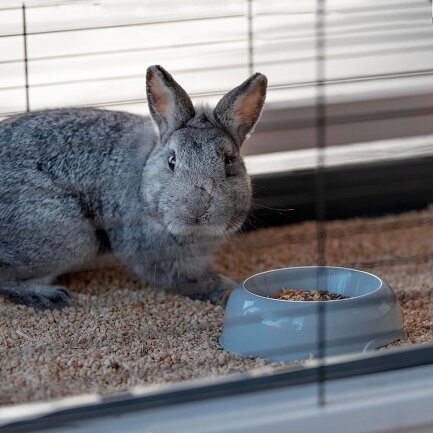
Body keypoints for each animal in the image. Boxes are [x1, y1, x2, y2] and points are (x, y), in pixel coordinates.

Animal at [0, 65, 266, 308]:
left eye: (228, 161)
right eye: (172, 161)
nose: (196, 206)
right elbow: (187, 280)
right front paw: (224, 290)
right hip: (72, 236)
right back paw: (49, 296)